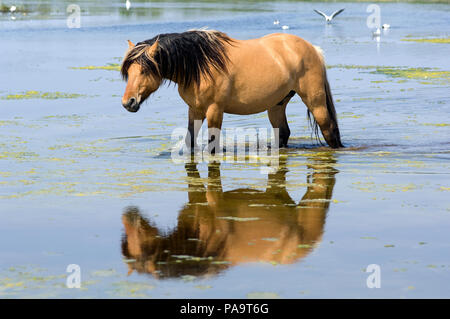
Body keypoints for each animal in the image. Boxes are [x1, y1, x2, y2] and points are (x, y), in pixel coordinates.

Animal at [121, 30, 342, 150]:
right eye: (128, 71)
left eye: (144, 70)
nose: (128, 102)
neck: (200, 65)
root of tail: (313, 49)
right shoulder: (195, 110)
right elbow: (190, 141)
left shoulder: (214, 110)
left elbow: (213, 145)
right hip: (277, 105)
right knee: (283, 133)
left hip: (315, 102)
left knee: (329, 130)